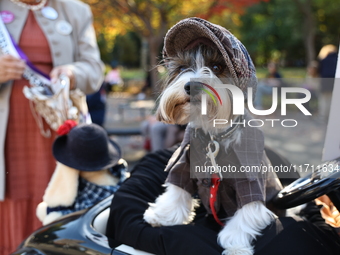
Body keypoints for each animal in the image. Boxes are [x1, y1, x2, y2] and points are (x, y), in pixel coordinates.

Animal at [143, 16, 282, 254]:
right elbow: (177, 189)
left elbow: (248, 211)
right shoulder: (184, 161)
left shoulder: (250, 178)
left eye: (217, 67)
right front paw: (161, 215)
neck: (214, 136)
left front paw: (236, 245)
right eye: (183, 67)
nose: (191, 86)